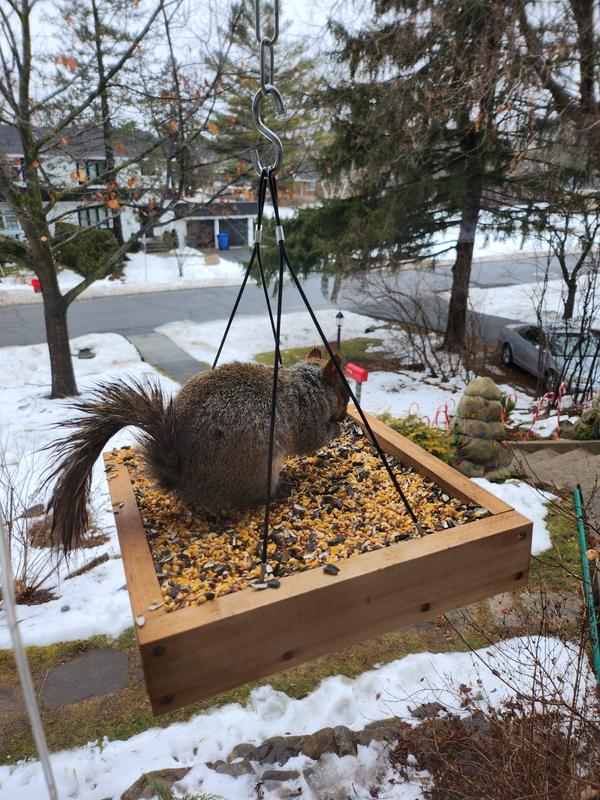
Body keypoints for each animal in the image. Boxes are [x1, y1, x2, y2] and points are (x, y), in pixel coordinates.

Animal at [46, 348, 349, 551]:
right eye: (344, 393)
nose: (346, 415)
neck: (306, 386)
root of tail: (187, 481)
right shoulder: (306, 416)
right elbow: (312, 440)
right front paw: (336, 430)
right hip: (257, 466)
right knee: (254, 496)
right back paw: (280, 490)